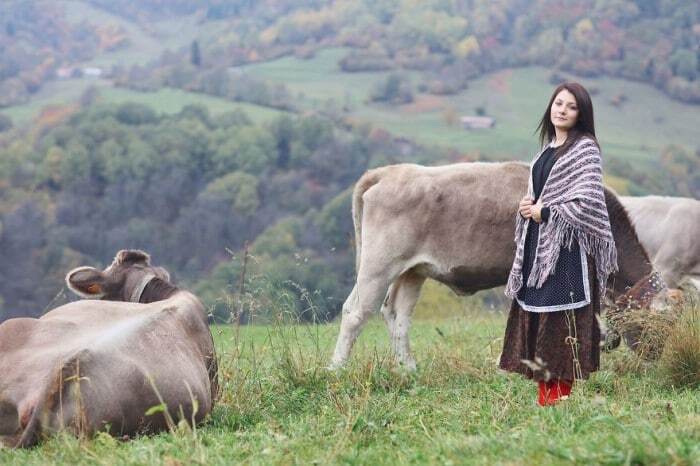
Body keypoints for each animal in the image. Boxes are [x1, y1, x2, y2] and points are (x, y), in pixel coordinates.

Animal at [330, 162, 664, 370]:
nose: (661, 355)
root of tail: (388, 172)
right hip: (378, 265)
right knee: (355, 313)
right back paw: (336, 369)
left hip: (412, 271)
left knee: (397, 316)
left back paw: (409, 369)